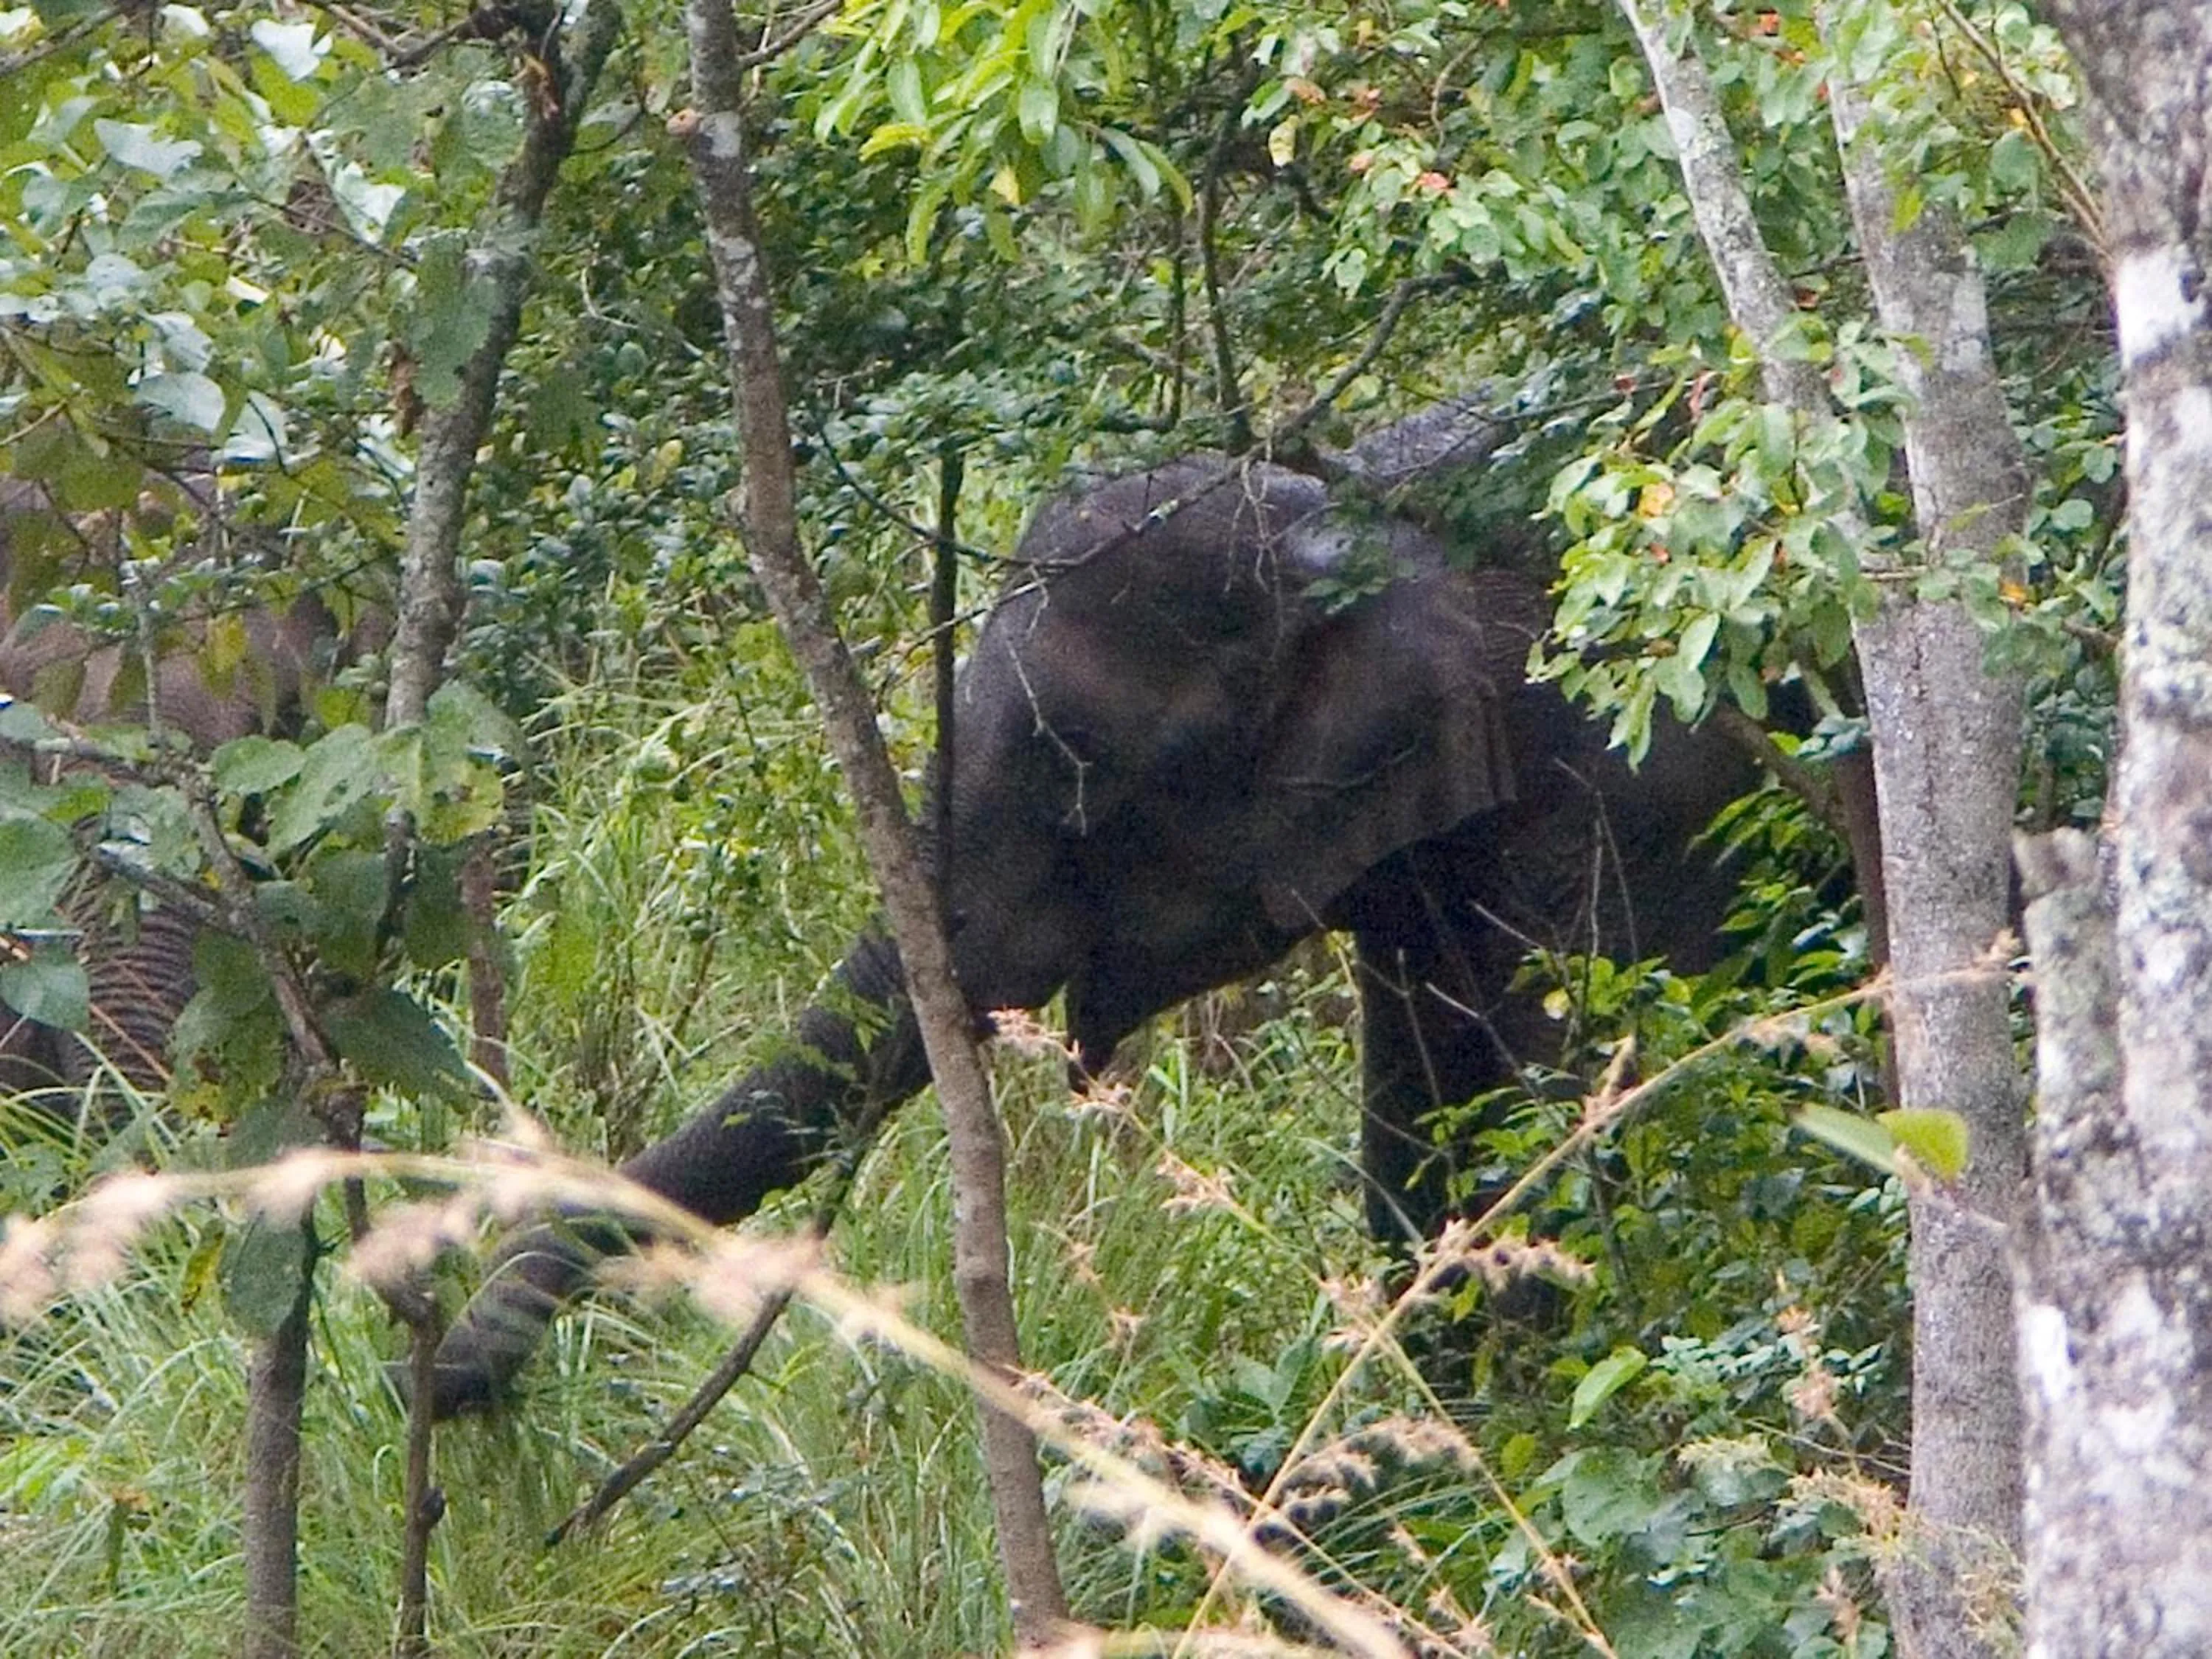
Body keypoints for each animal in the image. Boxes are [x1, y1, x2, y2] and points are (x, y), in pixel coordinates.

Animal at [426, 453, 1766, 1416]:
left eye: (1077, 783)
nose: (443, 1385)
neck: (1356, 515)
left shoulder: (1626, 785)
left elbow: (1580, 1126)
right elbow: (1423, 1124)